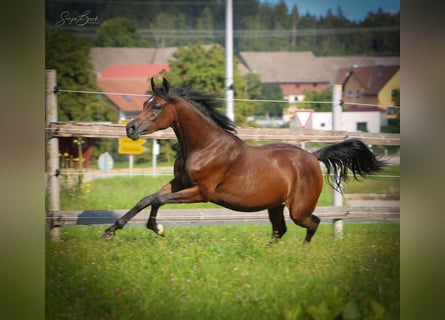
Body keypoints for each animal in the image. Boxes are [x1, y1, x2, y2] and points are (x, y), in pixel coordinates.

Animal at [102, 77, 384, 242]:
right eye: (145, 103)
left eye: (157, 106)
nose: (130, 129)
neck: (205, 147)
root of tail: (314, 157)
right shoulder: (179, 183)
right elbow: (146, 199)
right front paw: (111, 231)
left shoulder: (201, 192)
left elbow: (157, 200)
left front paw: (158, 229)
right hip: (275, 206)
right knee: (280, 230)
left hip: (299, 209)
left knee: (312, 223)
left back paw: (302, 254)